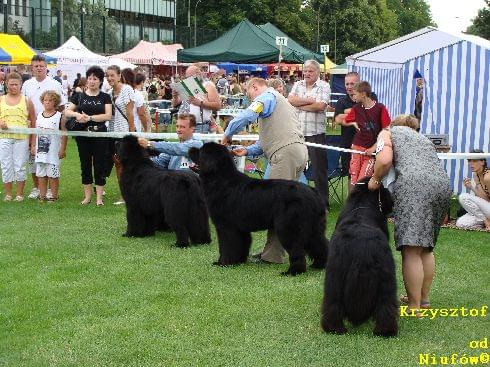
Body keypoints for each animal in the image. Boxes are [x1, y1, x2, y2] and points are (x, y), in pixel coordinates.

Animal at [189, 142, 330, 274]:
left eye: (201, 151)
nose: (190, 148)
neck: (221, 180)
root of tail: (313, 192)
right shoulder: (239, 229)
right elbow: (241, 244)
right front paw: (238, 261)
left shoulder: (226, 226)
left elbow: (226, 246)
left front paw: (223, 263)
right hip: (314, 227)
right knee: (320, 244)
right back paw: (320, 265)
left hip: (288, 227)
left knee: (298, 250)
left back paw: (293, 272)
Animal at [322, 177, 398, 338]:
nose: (393, 202)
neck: (362, 204)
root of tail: (363, 247)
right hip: (386, 277)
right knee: (386, 303)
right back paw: (386, 331)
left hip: (334, 275)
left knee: (333, 302)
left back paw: (333, 328)